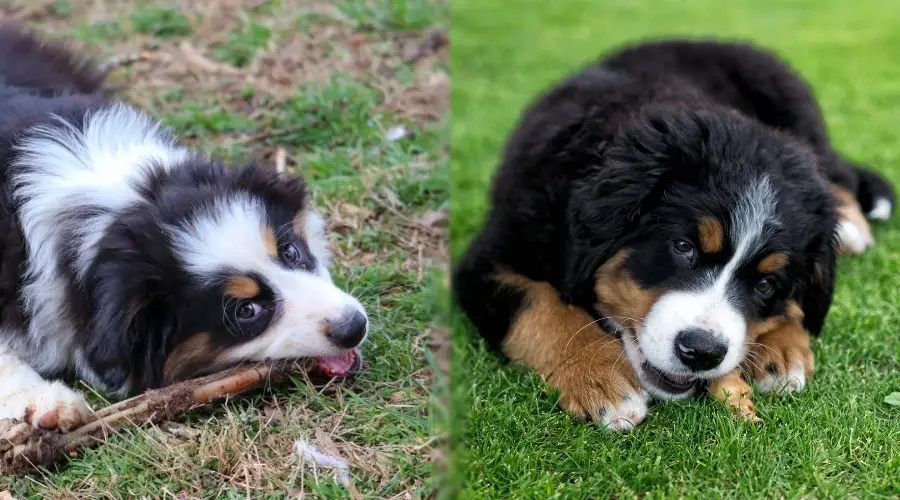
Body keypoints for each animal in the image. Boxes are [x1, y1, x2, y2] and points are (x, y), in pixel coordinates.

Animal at [454, 39, 888, 430]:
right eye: (682, 247)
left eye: (766, 284)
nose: (702, 352)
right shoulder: (492, 253)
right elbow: (540, 305)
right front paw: (601, 380)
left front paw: (784, 349)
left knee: (835, 172)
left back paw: (849, 225)